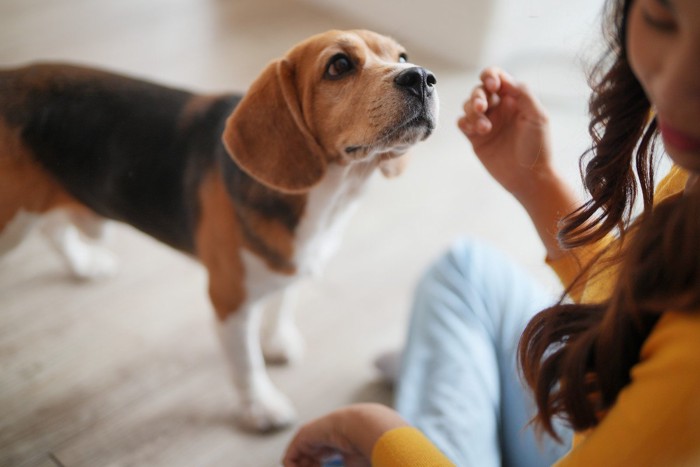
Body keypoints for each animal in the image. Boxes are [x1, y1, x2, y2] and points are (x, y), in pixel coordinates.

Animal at [0, 28, 438, 432]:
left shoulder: (291, 262)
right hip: (11, 222)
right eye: (340, 65)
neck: (330, 196)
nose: (421, 76)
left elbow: (283, 300)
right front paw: (261, 407)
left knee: (53, 230)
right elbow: (247, 365)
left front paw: (277, 341)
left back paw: (83, 265)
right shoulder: (231, 302)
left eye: (402, 56)